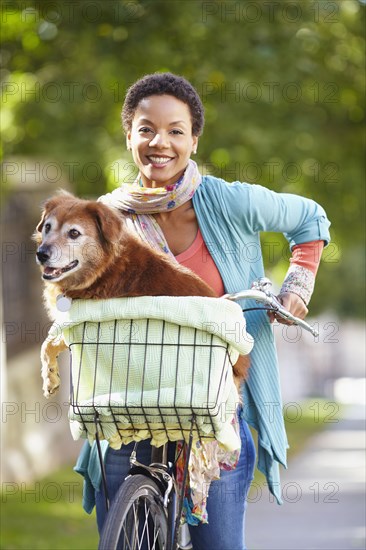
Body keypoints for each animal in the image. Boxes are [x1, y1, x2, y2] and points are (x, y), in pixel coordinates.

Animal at [35, 193, 249, 396]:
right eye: (47, 227)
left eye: (74, 233)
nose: (41, 253)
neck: (105, 268)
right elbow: (47, 345)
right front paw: (50, 377)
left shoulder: (83, 324)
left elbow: (49, 342)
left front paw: (49, 375)